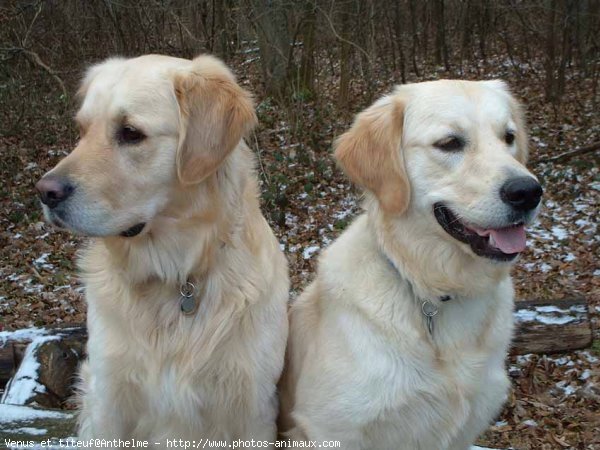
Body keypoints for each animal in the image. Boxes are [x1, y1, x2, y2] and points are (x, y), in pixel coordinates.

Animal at [36, 54, 290, 444]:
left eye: (130, 133)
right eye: (82, 130)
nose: (45, 192)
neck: (174, 275)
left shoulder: (252, 409)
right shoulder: (110, 402)